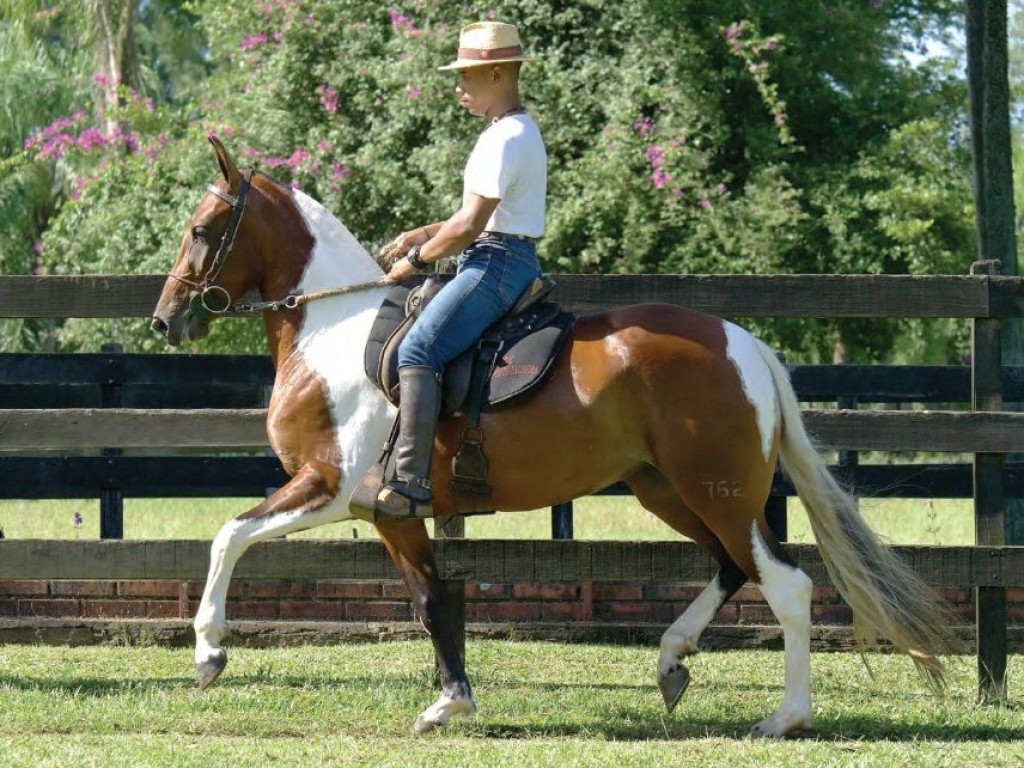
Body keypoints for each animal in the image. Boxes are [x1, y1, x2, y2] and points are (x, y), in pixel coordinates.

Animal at [149, 138, 958, 741]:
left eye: (201, 230)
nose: (166, 319)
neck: (332, 332)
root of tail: (745, 344)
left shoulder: (328, 488)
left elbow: (229, 535)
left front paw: (209, 652)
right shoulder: (389, 514)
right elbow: (432, 599)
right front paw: (451, 702)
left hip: (716, 492)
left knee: (785, 584)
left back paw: (784, 718)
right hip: (669, 491)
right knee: (734, 568)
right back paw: (672, 661)